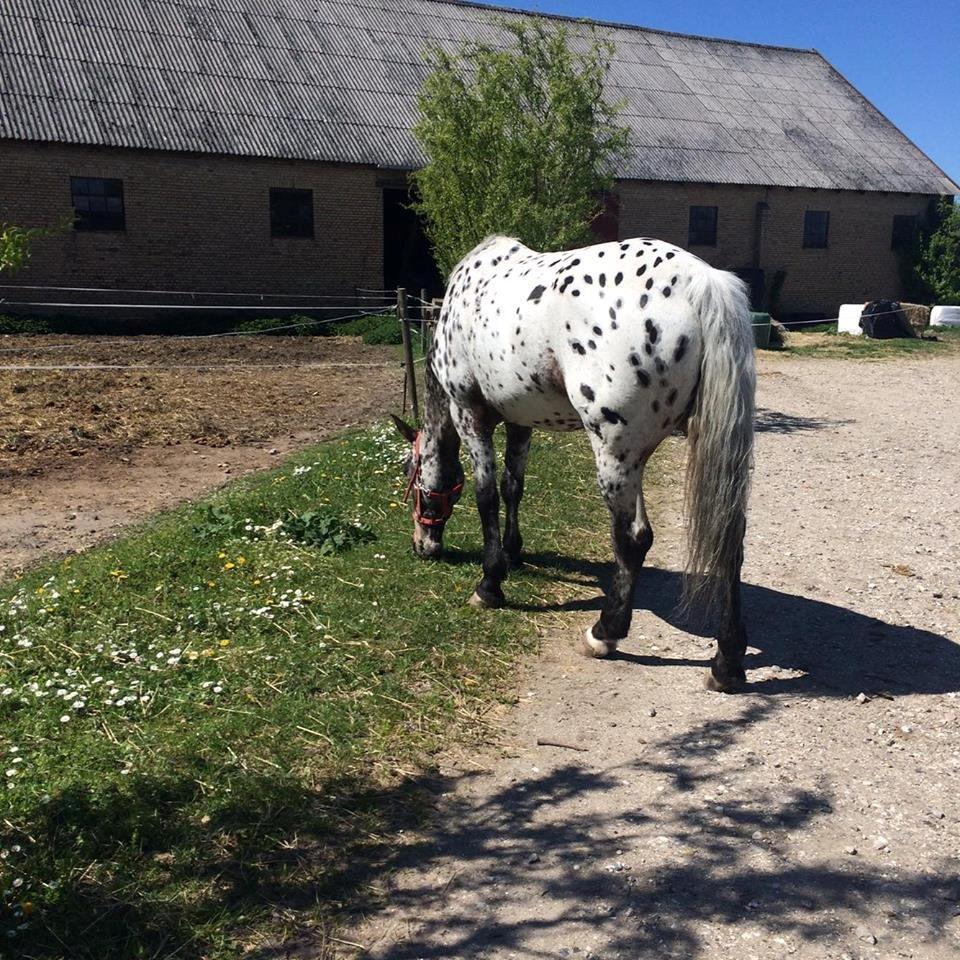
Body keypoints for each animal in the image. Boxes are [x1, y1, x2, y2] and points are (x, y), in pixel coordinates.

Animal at [394, 236, 752, 692]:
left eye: (412, 477)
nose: (422, 546)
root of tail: (702, 283)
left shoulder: (469, 414)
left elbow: (486, 496)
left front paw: (490, 584)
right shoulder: (520, 420)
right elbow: (513, 486)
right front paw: (513, 552)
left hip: (615, 452)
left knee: (633, 538)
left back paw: (605, 633)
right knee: (728, 539)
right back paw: (727, 662)